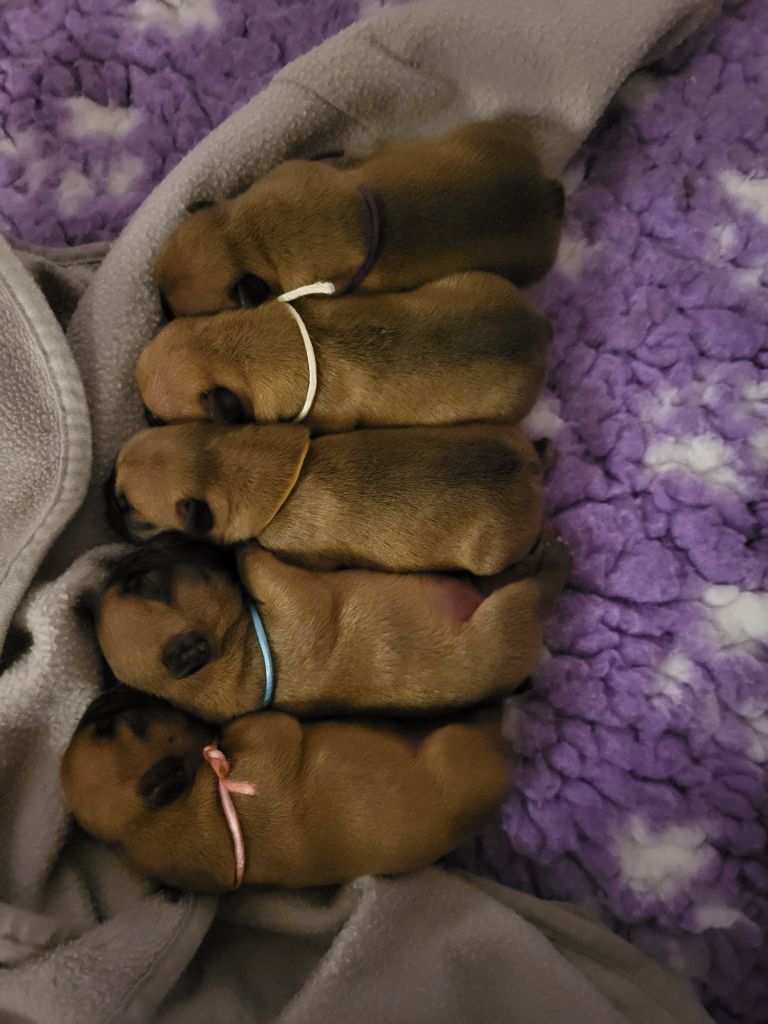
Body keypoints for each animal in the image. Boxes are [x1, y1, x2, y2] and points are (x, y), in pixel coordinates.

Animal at [88, 532, 573, 724]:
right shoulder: (285, 591)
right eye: (149, 584)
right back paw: (556, 560)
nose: (163, 536)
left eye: (138, 577)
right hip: (506, 620)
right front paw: (242, 542)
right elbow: (255, 562)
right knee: (537, 593)